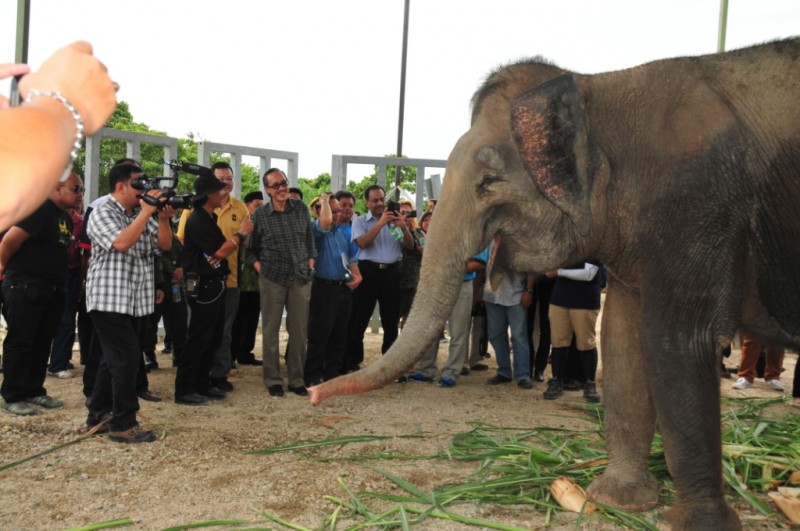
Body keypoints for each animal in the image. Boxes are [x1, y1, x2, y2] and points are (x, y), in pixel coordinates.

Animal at [310, 38, 800, 531]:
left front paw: (696, 523)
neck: (599, 88)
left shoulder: (693, 206)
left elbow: (679, 344)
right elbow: (622, 341)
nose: (314, 395)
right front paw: (615, 501)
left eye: (488, 182)